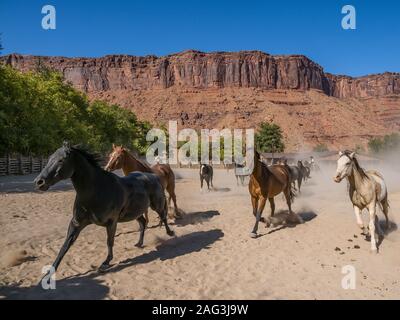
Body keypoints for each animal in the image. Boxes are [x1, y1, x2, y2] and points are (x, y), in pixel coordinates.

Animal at [32, 142, 173, 282]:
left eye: (61, 160)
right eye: (50, 158)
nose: (39, 182)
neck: (96, 190)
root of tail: (154, 176)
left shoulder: (111, 222)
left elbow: (109, 241)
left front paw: (105, 263)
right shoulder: (76, 223)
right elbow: (65, 246)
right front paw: (47, 275)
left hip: (156, 205)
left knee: (163, 215)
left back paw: (170, 233)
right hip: (134, 212)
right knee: (143, 222)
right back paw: (139, 243)